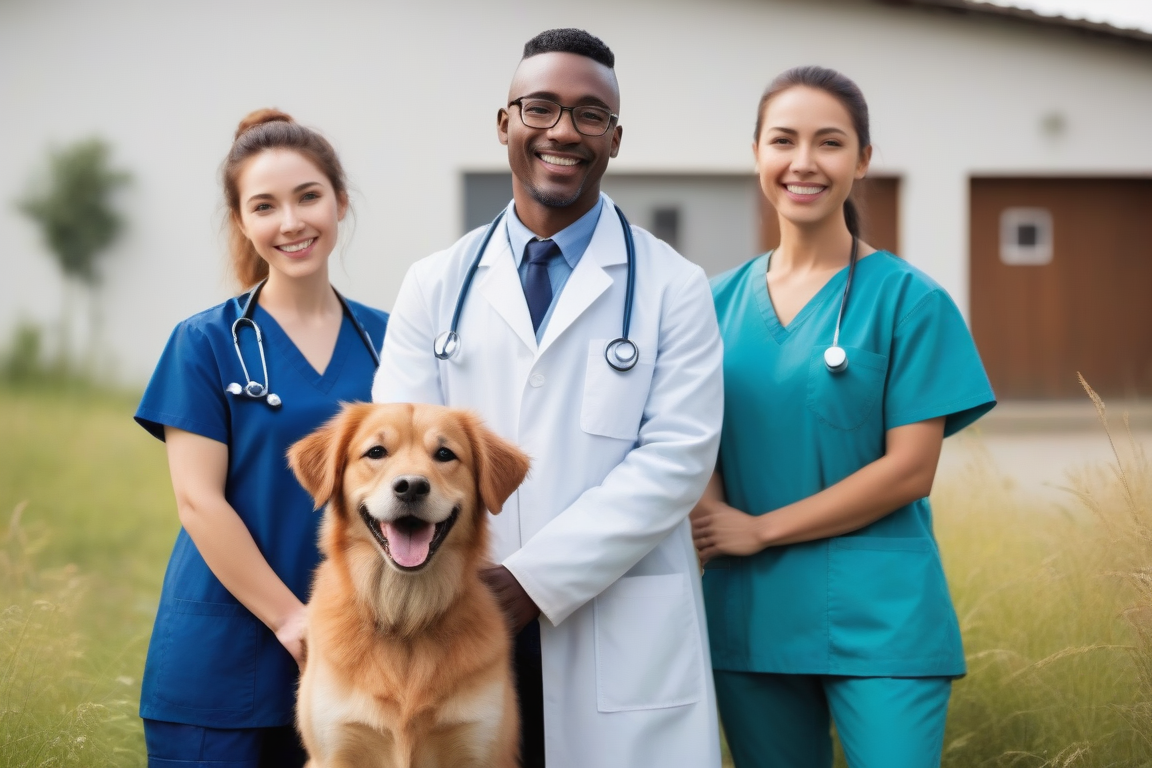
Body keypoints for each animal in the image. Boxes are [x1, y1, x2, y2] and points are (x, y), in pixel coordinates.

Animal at [285, 402, 527, 768]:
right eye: (376, 452)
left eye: (444, 454)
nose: (411, 486)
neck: (405, 617)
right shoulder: (334, 750)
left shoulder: (481, 749)